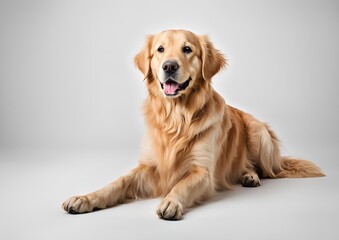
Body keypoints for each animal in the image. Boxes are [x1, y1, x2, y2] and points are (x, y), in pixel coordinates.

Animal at [62, 29, 326, 219]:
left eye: (187, 49)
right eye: (160, 49)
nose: (169, 66)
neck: (177, 118)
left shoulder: (202, 171)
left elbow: (181, 185)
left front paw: (170, 201)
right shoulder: (149, 166)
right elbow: (117, 183)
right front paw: (85, 198)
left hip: (257, 132)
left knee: (268, 170)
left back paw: (252, 176)